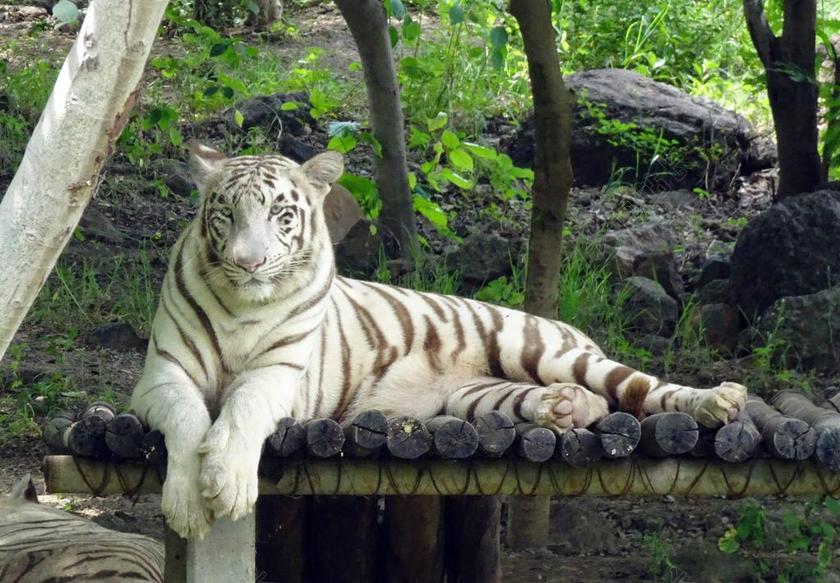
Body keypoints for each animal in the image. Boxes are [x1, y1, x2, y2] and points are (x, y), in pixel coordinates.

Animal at [131, 143, 748, 539]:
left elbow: (240, 411)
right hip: (477, 397)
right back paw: (562, 409)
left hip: (537, 348)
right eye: (225, 214)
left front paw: (227, 484)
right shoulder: (163, 373)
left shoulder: (279, 376)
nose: (248, 263)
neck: (244, 305)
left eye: (281, 215)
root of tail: (571, 329)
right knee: (589, 401)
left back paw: (718, 399)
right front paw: (186, 505)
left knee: (639, 386)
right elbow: (189, 419)